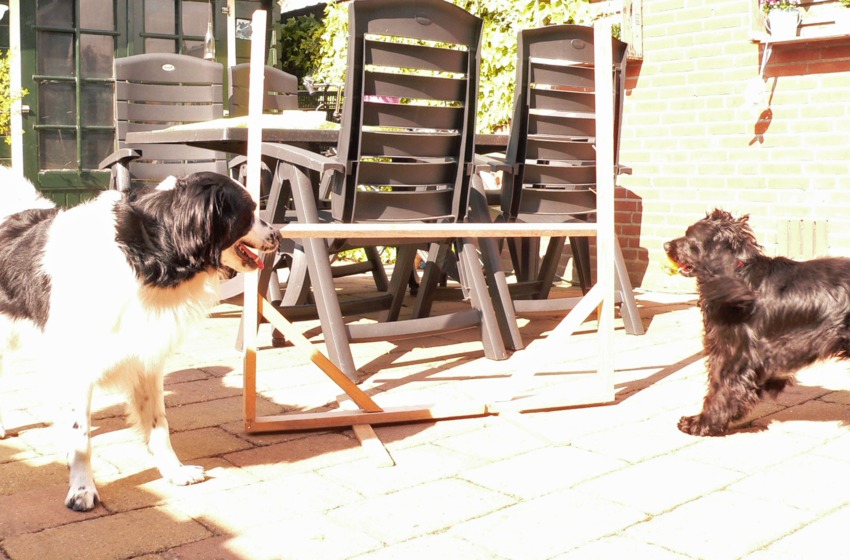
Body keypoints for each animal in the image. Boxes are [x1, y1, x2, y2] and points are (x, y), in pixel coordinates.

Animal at [0, 168, 281, 511]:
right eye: (248, 211)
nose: (279, 235)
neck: (146, 254)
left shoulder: (146, 361)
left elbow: (159, 426)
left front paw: (174, 471)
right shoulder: (77, 369)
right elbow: (81, 440)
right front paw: (82, 489)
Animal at [664, 208, 850, 437]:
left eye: (689, 237)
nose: (666, 246)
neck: (737, 273)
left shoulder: (732, 351)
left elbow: (719, 388)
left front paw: (701, 423)